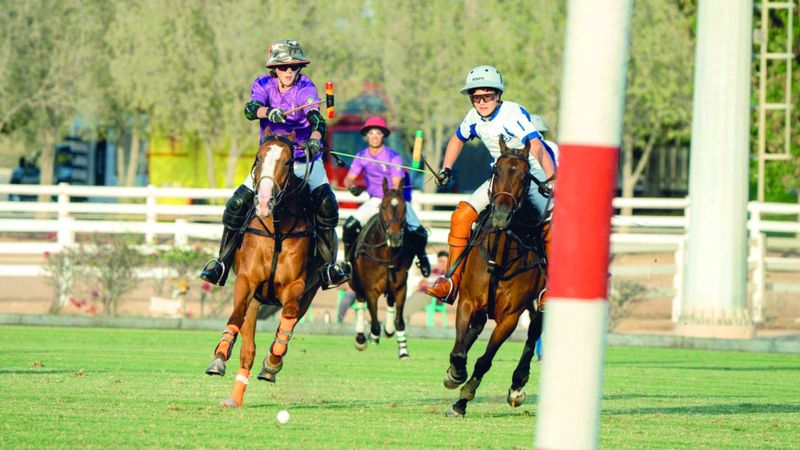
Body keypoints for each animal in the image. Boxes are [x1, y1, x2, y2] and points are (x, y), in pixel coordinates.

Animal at [203, 133, 322, 408]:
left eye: (288, 162)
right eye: (258, 158)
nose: (265, 201)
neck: (276, 228)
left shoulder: (295, 287)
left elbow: (286, 320)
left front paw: (273, 361)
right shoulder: (247, 281)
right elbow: (236, 316)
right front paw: (220, 355)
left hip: (308, 296)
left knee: (287, 325)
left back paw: (270, 365)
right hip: (256, 302)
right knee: (248, 349)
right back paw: (234, 396)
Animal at [348, 179, 416, 358]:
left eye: (404, 208)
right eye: (384, 206)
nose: (395, 237)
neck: (386, 254)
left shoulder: (401, 288)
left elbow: (400, 321)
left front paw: (403, 350)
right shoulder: (370, 290)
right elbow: (374, 323)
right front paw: (371, 338)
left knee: (390, 302)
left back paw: (389, 330)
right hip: (356, 283)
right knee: (360, 302)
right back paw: (361, 338)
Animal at [444, 139, 552, 416]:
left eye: (525, 177)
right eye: (496, 171)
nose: (501, 216)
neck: (499, 258)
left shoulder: (510, 317)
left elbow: (484, 360)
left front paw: (464, 397)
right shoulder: (468, 301)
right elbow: (459, 352)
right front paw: (455, 375)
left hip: (539, 304)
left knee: (533, 334)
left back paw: (517, 386)